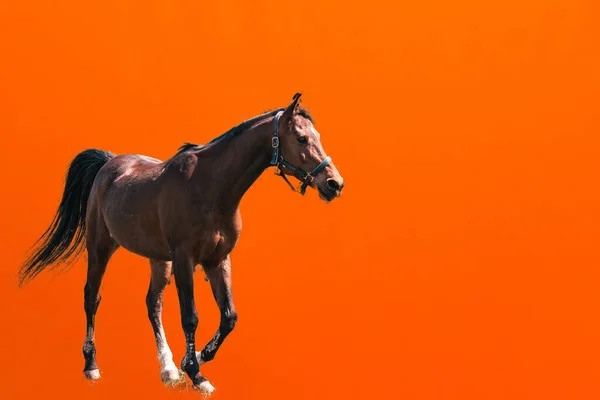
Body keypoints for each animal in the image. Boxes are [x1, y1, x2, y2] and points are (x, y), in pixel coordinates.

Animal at [18, 92, 344, 396]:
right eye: (302, 138)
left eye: (316, 136)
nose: (334, 184)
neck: (209, 188)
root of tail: (109, 163)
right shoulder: (185, 259)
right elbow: (190, 317)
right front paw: (197, 375)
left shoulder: (217, 260)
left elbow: (229, 317)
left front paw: (198, 357)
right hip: (100, 248)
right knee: (91, 297)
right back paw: (92, 365)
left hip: (158, 259)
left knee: (153, 303)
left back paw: (168, 369)